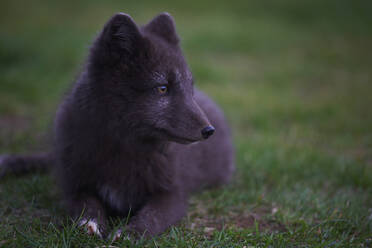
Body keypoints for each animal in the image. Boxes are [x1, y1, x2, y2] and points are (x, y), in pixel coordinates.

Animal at [0, 12, 234, 238]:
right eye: (162, 88)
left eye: (189, 88)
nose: (209, 131)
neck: (123, 146)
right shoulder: (75, 184)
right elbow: (85, 204)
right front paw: (91, 223)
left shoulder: (173, 194)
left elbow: (152, 216)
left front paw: (131, 232)